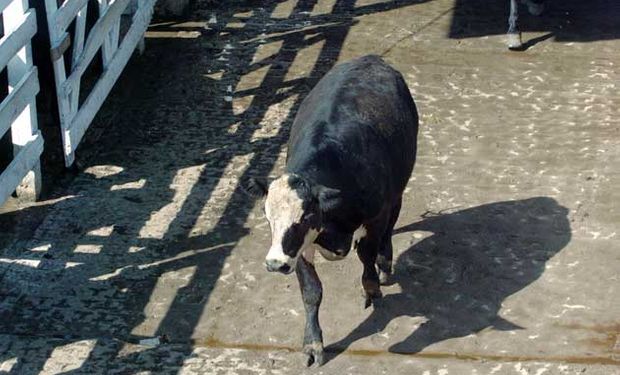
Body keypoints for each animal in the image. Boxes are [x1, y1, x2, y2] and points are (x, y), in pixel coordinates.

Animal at [245, 55, 418, 368]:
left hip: (399, 187)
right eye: (267, 216)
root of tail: (372, 59)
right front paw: (312, 343)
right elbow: (312, 291)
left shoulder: (374, 216)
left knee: (391, 227)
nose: (275, 263)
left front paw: (372, 287)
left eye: (305, 217)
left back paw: (385, 262)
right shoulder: (300, 246)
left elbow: (367, 256)